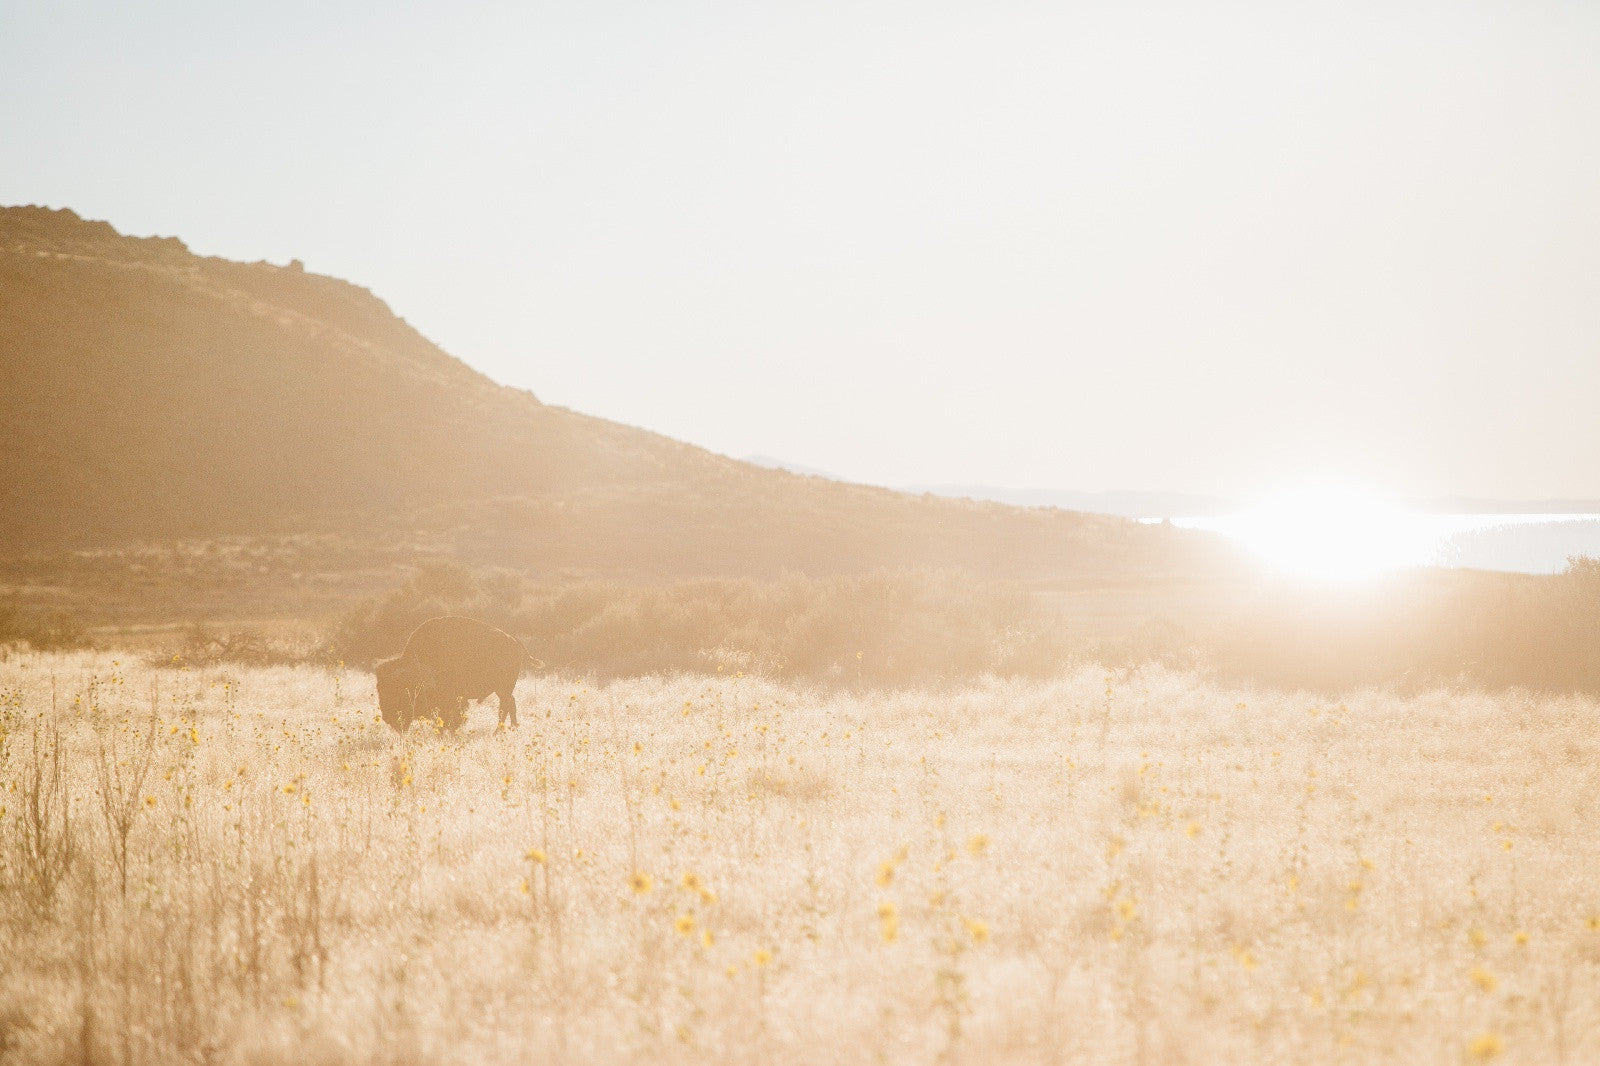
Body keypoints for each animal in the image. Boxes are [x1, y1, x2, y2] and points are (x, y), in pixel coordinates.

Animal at [374, 614, 524, 729]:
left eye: (396, 690)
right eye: (379, 689)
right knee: (510, 704)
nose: (387, 718)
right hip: (502, 690)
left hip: (503, 688)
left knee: (505, 706)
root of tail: (514, 642)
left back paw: (499, 731)